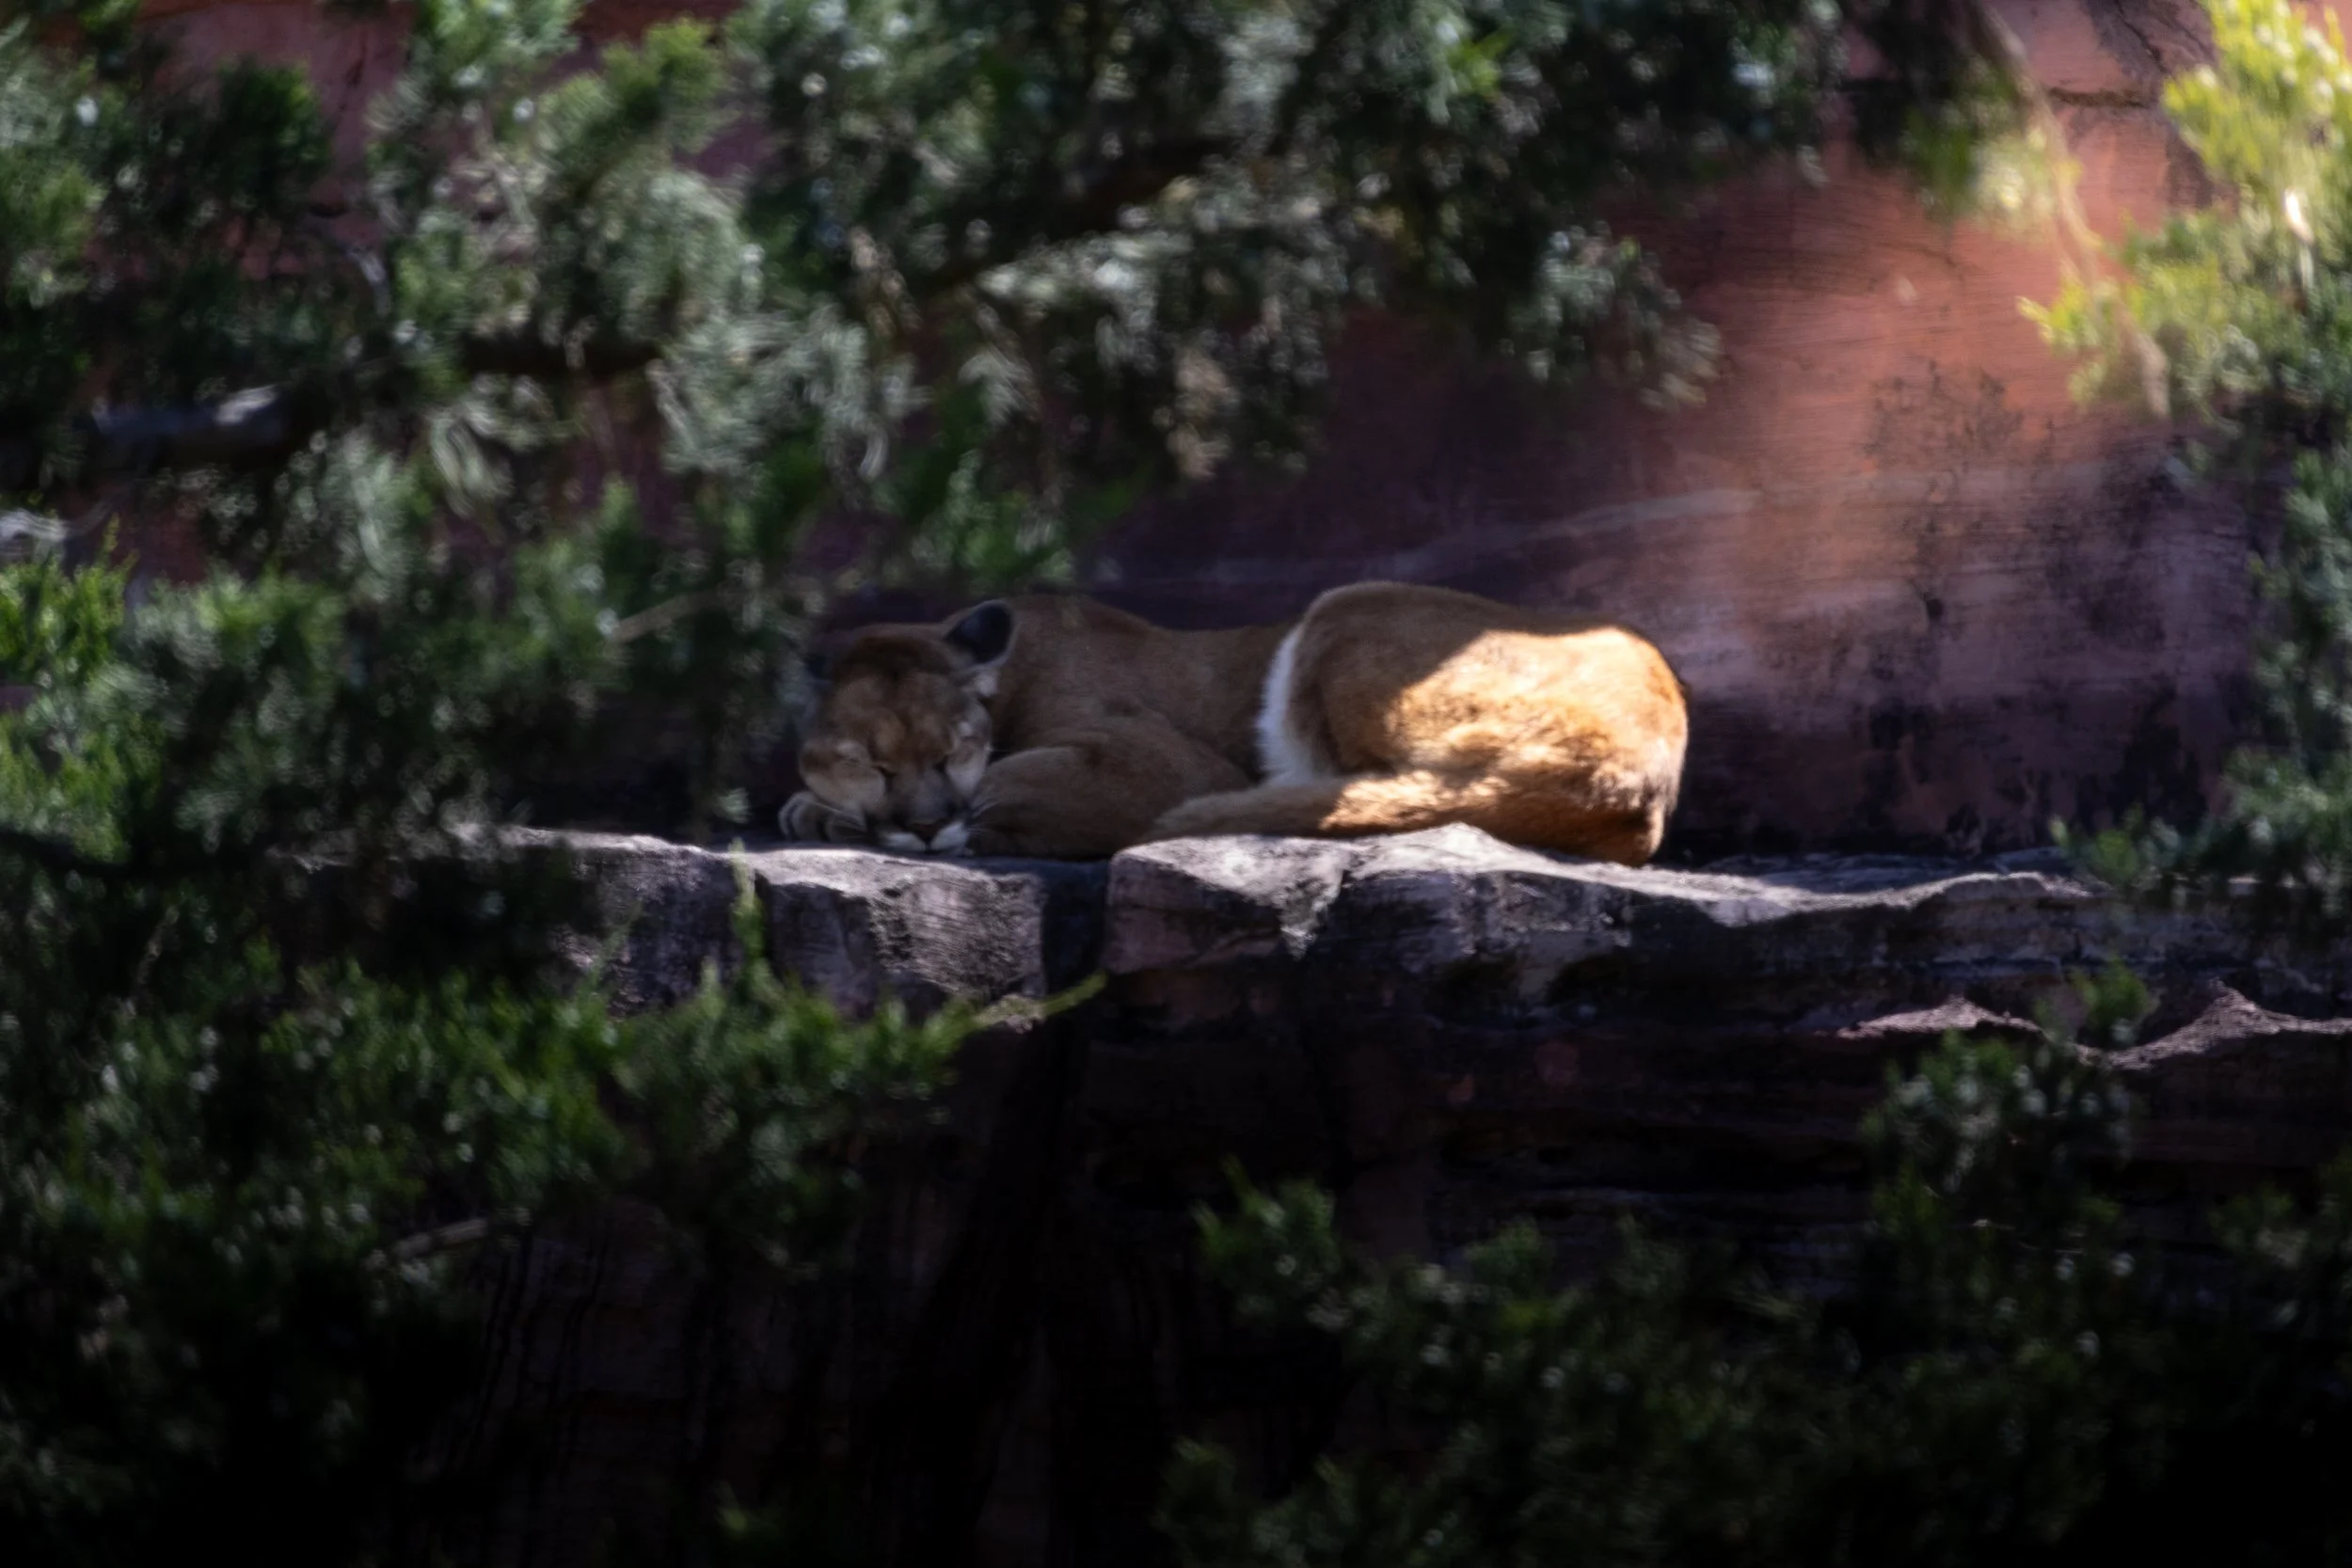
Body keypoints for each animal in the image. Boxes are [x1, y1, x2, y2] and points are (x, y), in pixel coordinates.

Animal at [779, 582, 1687, 865]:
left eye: (950, 752)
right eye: (872, 762)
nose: (924, 826)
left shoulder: (1167, 764)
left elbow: (1009, 780)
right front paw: (816, 808)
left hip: (1349, 606)